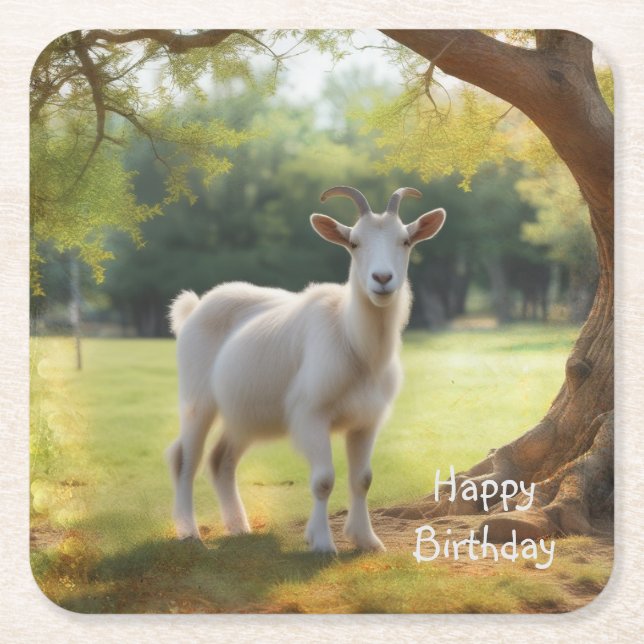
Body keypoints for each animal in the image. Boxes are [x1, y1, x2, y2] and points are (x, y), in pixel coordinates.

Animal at [166, 186, 446, 552]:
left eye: (405, 241)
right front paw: (322, 543)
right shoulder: (311, 414)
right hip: (196, 399)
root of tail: (195, 307)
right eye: (354, 243)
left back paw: (239, 527)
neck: (352, 340)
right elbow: (323, 480)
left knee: (220, 459)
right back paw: (189, 532)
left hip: (243, 412)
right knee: (186, 458)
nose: (382, 279)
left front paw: (366, 540)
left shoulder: (366, 421)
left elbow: (363, 479)